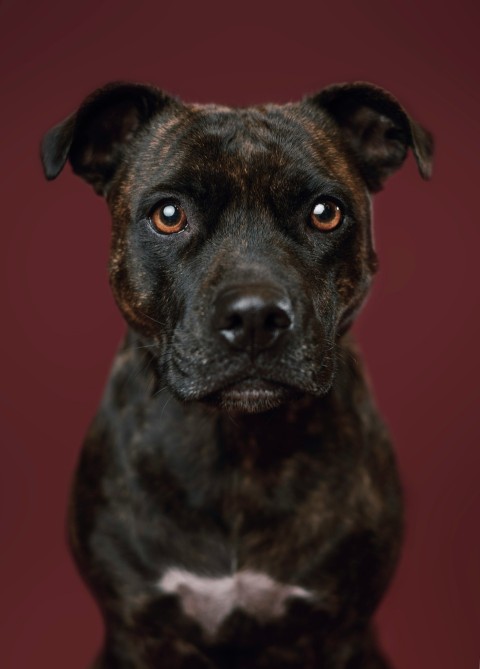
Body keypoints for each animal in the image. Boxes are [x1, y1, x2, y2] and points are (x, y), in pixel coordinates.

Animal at [39, 83, 434, 668]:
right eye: (169, 214)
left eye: (325, 213)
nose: (254, 317)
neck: (236, 447)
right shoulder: (139, 631)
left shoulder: (337, 629)